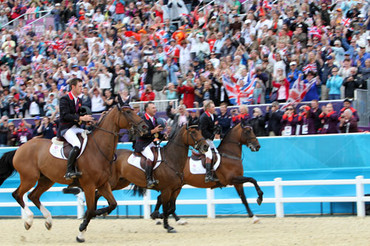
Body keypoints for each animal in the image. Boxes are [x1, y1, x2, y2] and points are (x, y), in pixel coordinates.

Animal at [0, 103, 147, 242]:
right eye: (128, 112)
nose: (144, 126)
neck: (98, 149)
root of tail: (19, 149)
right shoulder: (89, 185)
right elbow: (91, 210)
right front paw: (81, 231)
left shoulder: (103, 184)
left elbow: (112, 204)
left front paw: (95, 215)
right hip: (29, 178)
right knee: (18, 194)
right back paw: (29, 220)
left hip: (46, 179)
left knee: (33, 196)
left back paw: (48, 221)